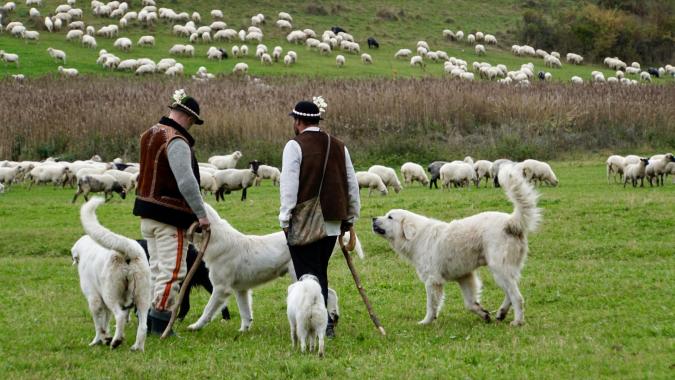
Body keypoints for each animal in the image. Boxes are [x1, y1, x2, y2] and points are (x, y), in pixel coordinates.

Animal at [71, 197, 151, 352]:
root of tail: (127, 249)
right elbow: (105, 320)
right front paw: (105, 338)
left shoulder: (94, 300)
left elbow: (99, 325)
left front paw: (99, 340)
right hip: (142, 297)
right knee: (143, 326)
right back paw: (137, 347)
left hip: (111, 295)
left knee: (120, 316)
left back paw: (116, 341)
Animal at [186, 202, 352, 332]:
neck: (216, 238)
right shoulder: (241, 290)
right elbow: (245, 312)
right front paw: (243, 331)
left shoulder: (221, 289)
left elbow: (207, 310)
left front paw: (195, 326)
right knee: (331, 292)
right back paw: (334, 316)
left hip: (299, 275)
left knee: (327, 292)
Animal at [372, 168, 540, 326]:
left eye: (390, 217)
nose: (373, 218)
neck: (417, 237)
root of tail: (511, 222)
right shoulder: (464, 276)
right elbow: (470, 303)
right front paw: (483, 313)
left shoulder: (432, 281)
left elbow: (431, 306)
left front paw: (426, 322)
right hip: (504, 271)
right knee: (510, 294)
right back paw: (501, 313)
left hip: (499, 269)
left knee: (517, 297)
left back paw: (517, 321)